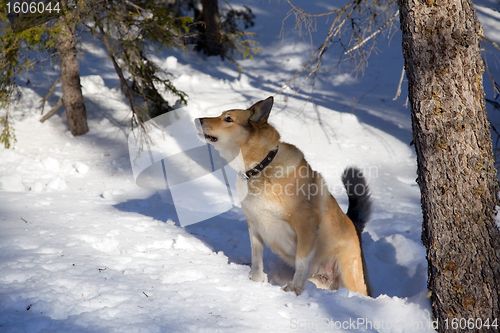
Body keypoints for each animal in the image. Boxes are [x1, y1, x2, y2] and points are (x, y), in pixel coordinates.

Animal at [195, 96, 372, 296]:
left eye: (228, 119)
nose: (198, 119)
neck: (261, 168)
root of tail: (355, 226)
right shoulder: (254, 225)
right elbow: (256, 259)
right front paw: (256, 283)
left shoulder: (306, 227)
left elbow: (301, 263)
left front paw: (294, 290)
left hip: (349, 275)